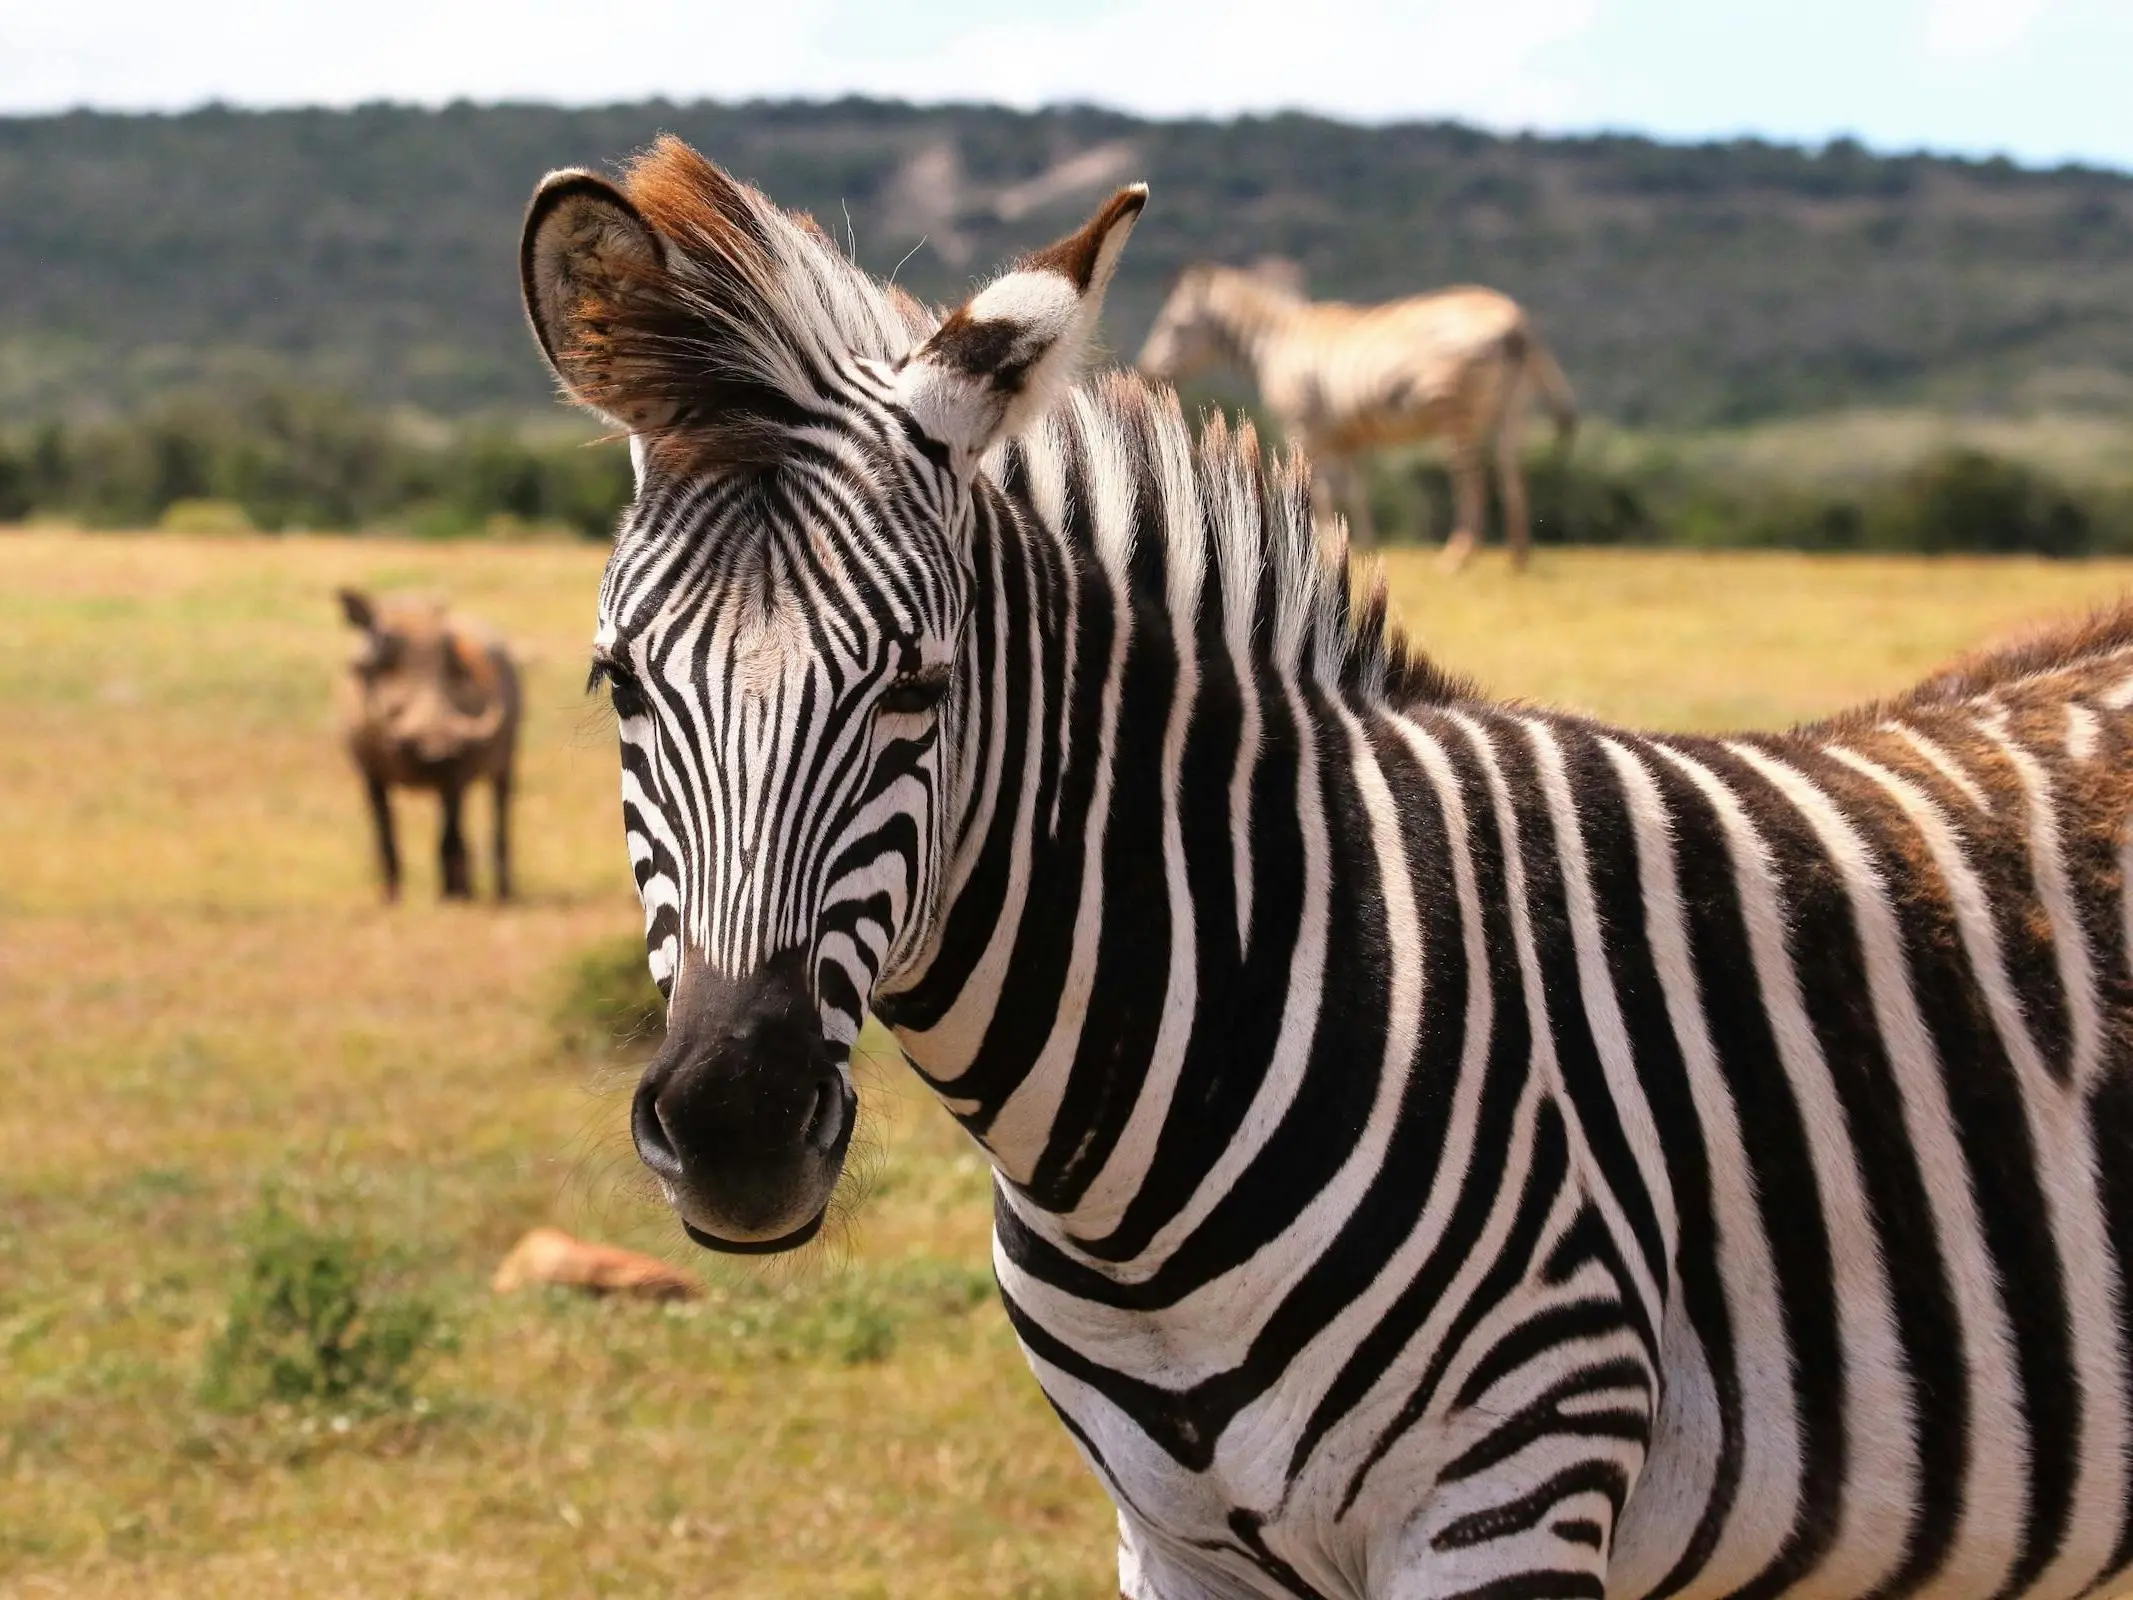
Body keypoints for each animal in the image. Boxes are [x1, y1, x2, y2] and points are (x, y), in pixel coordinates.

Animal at [1143, 267, 1578, 576]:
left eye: (1174, 326)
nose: (1146, 372)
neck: (1276, 344)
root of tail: (1515, 321)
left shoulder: (1306, 428)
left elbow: (1319, 489)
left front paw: (1319, 548)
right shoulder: (1347, 437)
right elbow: (1356, 490)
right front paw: (1361, 546)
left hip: (1457, 413)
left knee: (1471, 480)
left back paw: (1458, 556)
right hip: (1513, 410)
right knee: (1512, 472)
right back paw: (1518, 557)